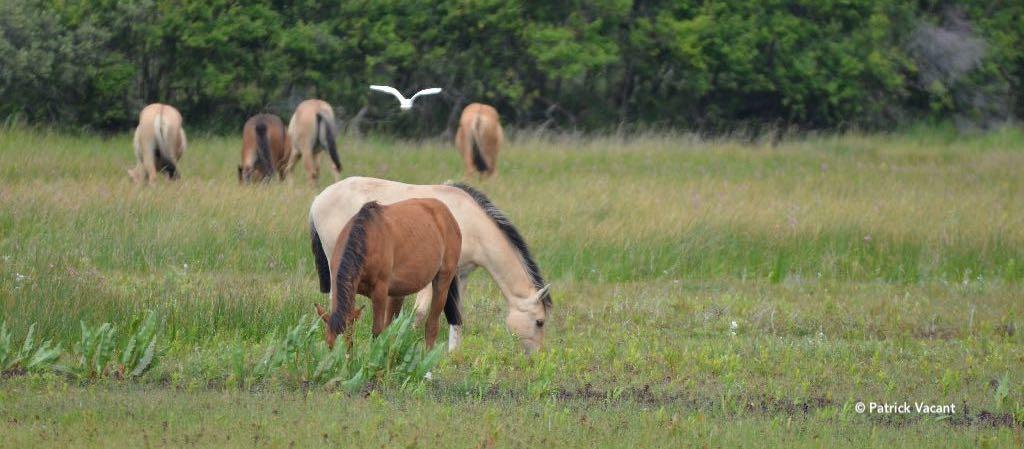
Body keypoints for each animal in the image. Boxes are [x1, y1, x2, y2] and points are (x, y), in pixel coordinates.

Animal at [313, 199, 462, 350]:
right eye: (329, 346)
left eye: (347, 344)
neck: (366, 238)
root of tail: (446, 213)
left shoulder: (380, 292)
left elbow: (377, 331)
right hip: (398, 292)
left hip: (442, 283)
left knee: (431, 326)